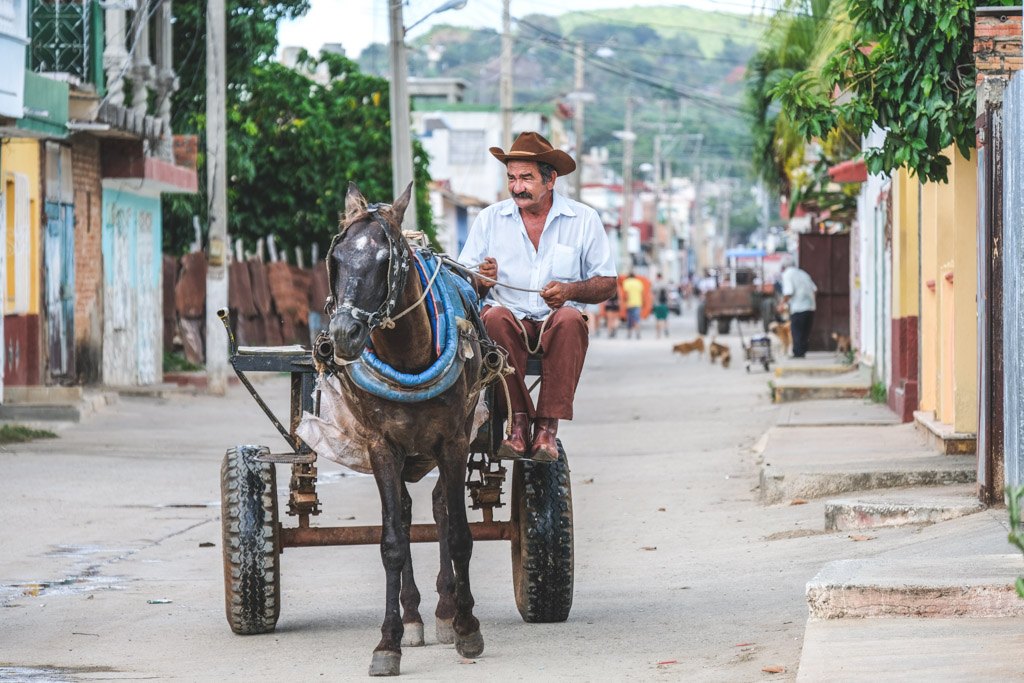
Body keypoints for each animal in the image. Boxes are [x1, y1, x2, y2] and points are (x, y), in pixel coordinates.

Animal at [327, 183, 487, 679]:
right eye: (336, 257)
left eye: (385, 260)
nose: (343, 334)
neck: (407, 355)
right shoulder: (382, 446)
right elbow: (393, 541)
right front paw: (388, 642)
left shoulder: (454, 442)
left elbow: (459, 534)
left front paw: (468, 628)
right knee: (408, 509)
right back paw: (416, 615)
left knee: (440, 509)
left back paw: (447, 612)